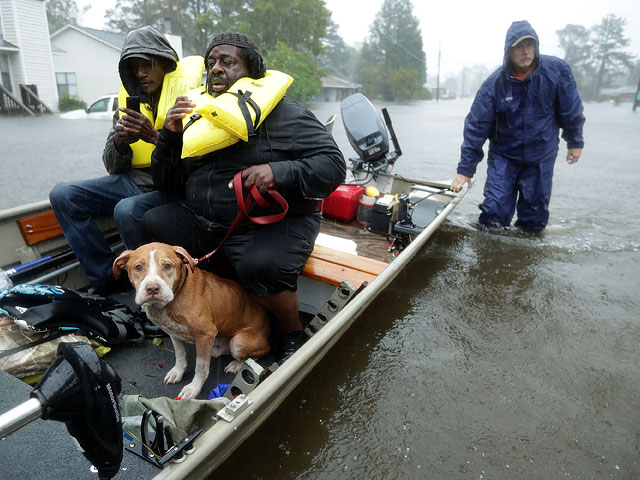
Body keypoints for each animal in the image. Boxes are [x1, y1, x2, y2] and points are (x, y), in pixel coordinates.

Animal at [112, 242, 270, 400]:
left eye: (167, 265)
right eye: (138, 267)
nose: (152, 288)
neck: (173, 299)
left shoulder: (205, 334)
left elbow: (200, 368)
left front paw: (193, 388)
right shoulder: (173, 333)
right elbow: (180, 355)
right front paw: (177, 372)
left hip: (238, 342)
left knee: (258, 354)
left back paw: (237, 365)